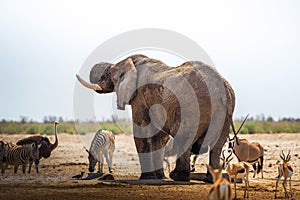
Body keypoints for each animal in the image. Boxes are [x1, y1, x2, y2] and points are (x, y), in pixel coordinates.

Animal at [76, 54, 236, 181]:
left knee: (184, 137)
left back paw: (178, 177)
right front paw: (159, 177)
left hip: (191, 105)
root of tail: (223, 90)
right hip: (226, 113)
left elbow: (141, 129)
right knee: (217, 145)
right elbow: (158, 135)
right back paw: (210, 179)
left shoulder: (139, 96)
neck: (132, 62)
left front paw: (147, 178)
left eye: (108, 75)